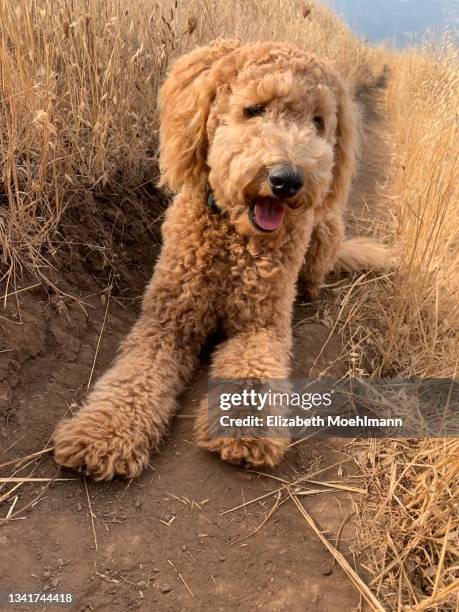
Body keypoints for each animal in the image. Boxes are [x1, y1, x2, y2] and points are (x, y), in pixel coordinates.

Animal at [53, 38, 388, 480]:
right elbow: (132, 377)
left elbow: (252, 374)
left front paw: (245, 433)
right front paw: (103, 435)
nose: (287, 179)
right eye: (254, 109)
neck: (234, 238)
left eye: (317, 122)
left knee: (314, 274)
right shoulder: (165, 323)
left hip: (326, 232)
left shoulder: (258, 328)